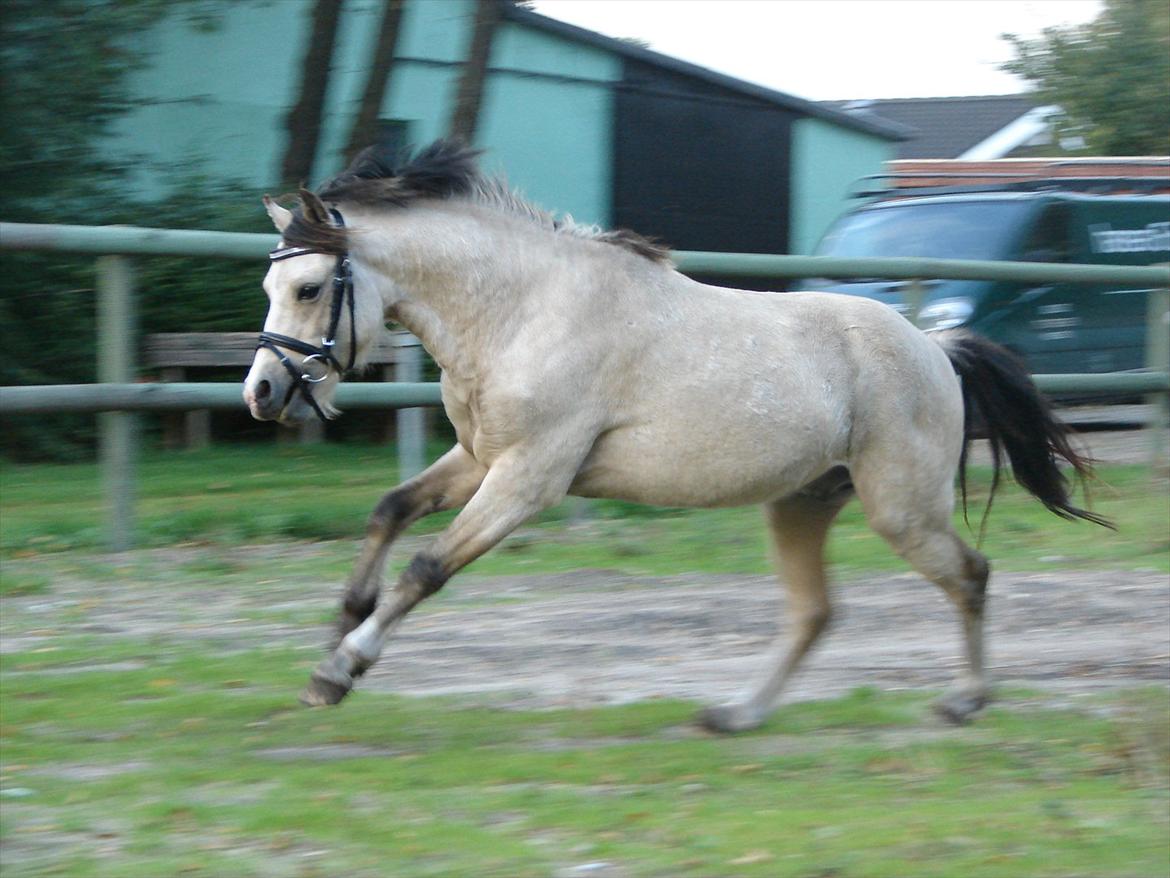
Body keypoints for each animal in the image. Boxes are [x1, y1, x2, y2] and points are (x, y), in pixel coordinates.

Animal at [244, 142, 1104, 735]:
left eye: (310, 287)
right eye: (269, 285)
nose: (261, 393)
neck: (524, 309)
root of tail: (935, 346)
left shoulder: (529, 477)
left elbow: (426, 567)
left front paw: (341, 667)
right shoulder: (481, 458)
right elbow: (390, 510)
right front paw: (341, 627)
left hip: (900, 509)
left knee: (970, 575)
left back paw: (965, 701)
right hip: (802, 502)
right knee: (815, 614)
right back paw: (737, 714)